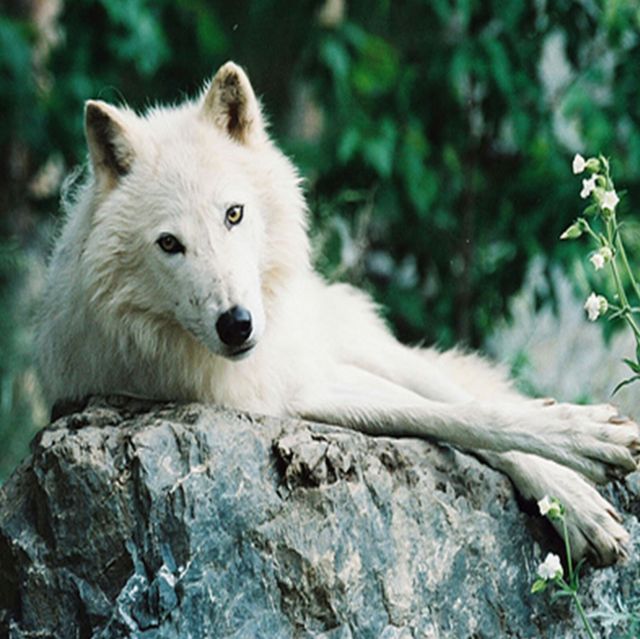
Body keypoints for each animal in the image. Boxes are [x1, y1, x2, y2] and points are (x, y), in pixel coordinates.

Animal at [36, 61, 639, 566]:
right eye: (169, 244)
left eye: (234, 214)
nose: (236, 325)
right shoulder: (292, 397)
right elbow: (453, 419)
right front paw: (580, 472)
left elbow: (471, 411)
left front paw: (583, 450)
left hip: (363, 346)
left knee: (452, 383)